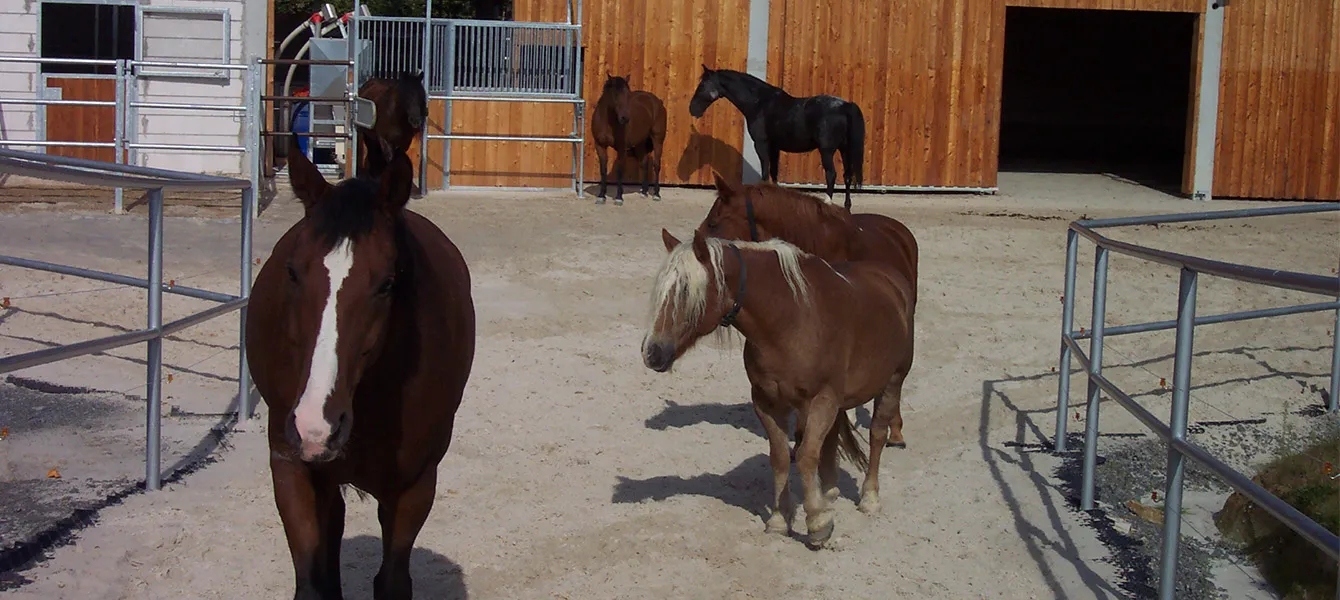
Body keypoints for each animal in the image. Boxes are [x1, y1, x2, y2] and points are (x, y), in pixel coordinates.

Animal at [245, 128, 475, 599]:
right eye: (292, 272)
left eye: (386, 283)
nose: (316, 425)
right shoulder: (291, 469)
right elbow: (312, 583)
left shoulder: (414, 487)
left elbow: (392, 582)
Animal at [590, 74, 668, 205]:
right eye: (615, 94)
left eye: (628, 94)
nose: (625, 118)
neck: (608, 122)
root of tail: (657, 101)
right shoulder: (600, 146)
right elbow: (603, 169)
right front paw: (601, 196)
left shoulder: (621, 148)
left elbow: (620, 170)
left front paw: (619, 197)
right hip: (641, 143)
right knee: (644, 163)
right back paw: (643, 192)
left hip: (658, 140)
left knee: (656, 165)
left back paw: (656, 194)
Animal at [641, 228, 915, 548]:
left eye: (685, 290)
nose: (652, 352)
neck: (790, 319)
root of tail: (891, 279)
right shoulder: (768, 402)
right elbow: (782, 457)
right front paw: (780, 519)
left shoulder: (822, 400)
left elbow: (806, 456)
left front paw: (817, 523)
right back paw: (829, 491)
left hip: (892, 381)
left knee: (876, 435)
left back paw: (869, 498)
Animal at [689, 64, 865, 210]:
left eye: (702, 85)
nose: (692, 109)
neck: (759, 102)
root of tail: (846, 105)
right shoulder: (774, 147)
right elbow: (774, 174)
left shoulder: (761, 144)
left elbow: (765, 174)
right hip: (845, 150)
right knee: (847, 176)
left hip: (827, 151)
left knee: (831, 174)